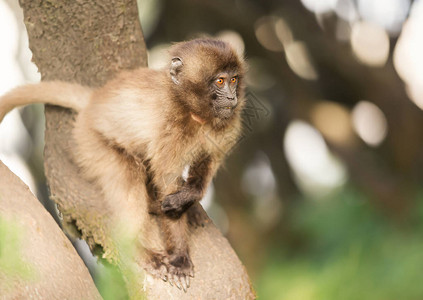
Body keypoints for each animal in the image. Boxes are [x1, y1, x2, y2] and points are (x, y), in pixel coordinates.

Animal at [0, 38, 247, 292]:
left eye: (233, 80)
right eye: (220, 81)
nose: (232, 98)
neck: (193, 113)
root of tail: (93, 103)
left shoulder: (225, 127)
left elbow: (206, 164)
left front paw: (187, 199)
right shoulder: (170, 131)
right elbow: (167, 182)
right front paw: (179, 257)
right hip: (90, 142)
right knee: (129, 172)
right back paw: (136, 247)